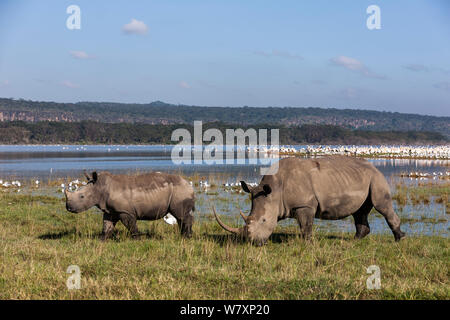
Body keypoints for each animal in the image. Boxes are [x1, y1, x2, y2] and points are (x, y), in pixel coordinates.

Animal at [65, 172, 195, 238]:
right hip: (179, 190)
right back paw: (184, 235)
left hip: (180, 190)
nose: (68, 208)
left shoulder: (125, 211)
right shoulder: (110, 210)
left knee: (181, 214)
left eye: (82, 197)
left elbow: (131, 225)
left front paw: (137, 238)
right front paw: (103, 239)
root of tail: (188, 184)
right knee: (180, 216)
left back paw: (186, 237)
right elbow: (107, 225)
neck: (99, 187)